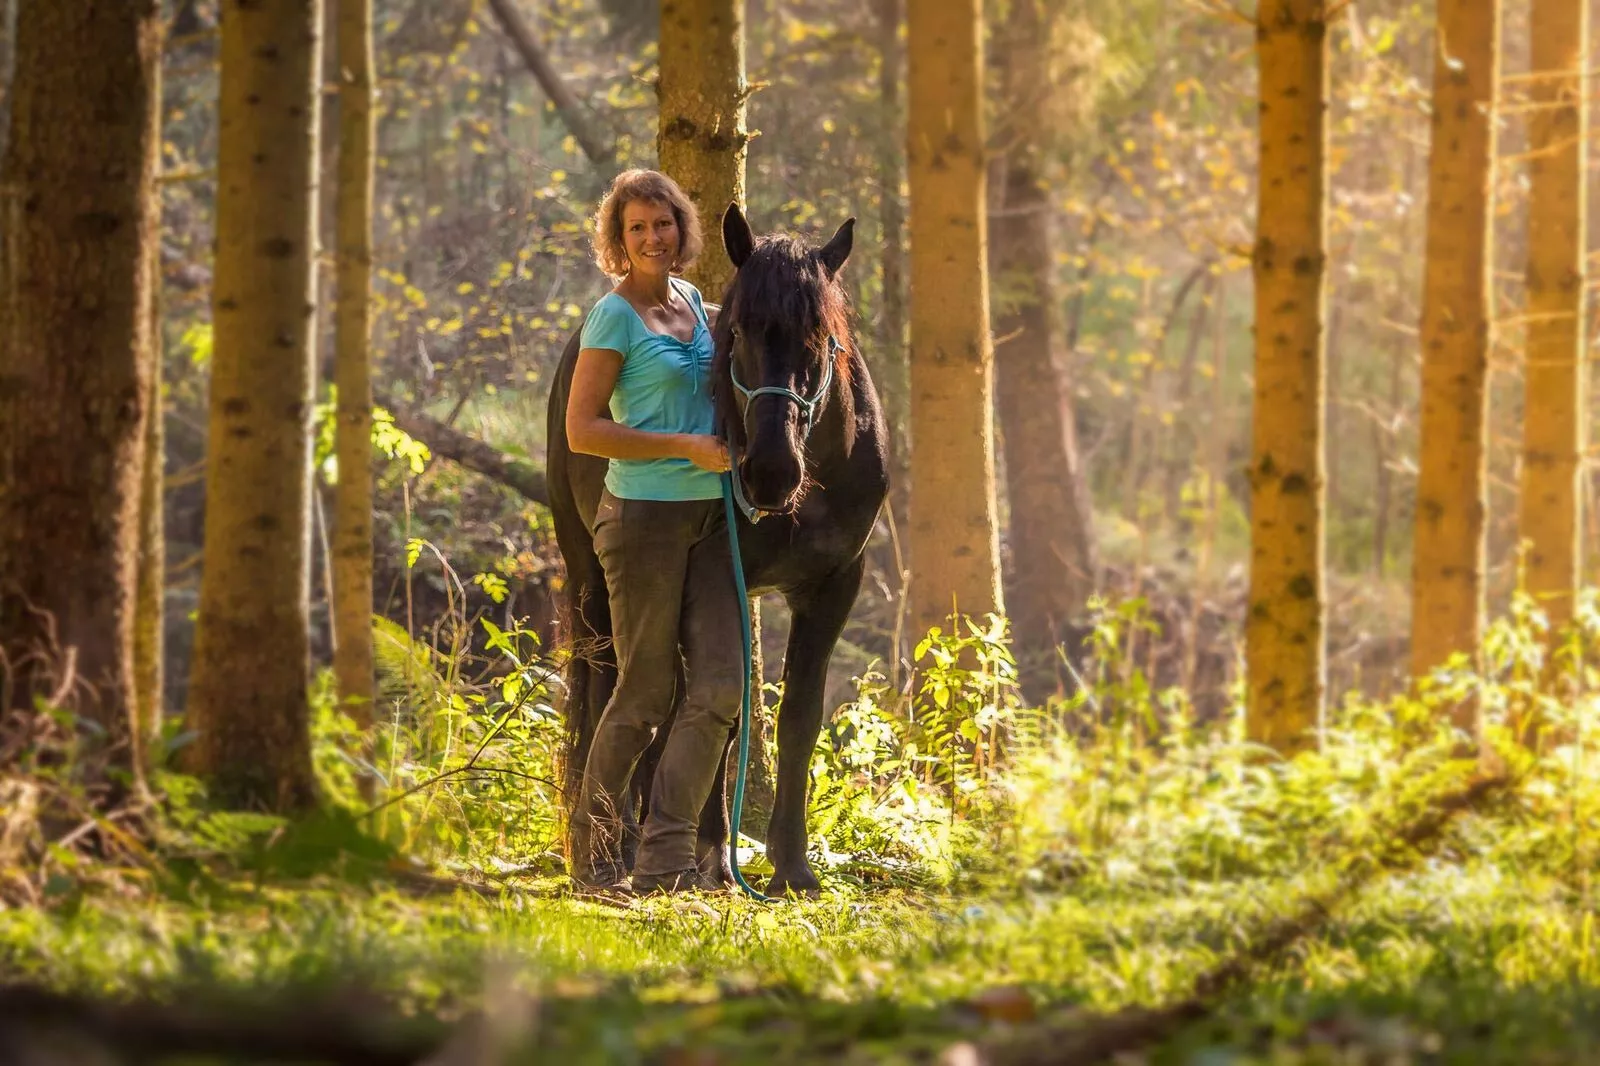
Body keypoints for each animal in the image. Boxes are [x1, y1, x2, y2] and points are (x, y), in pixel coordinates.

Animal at [544, 203, 889, 896]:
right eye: (738, 333)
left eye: (821, 337)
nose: (769, 473)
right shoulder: (723, 574)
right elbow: (722, 719)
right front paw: (713, 856)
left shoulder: (835, 585)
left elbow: (795, 717)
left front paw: (791, 866)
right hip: (590, 573)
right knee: (610, 687)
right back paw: (616, 843)